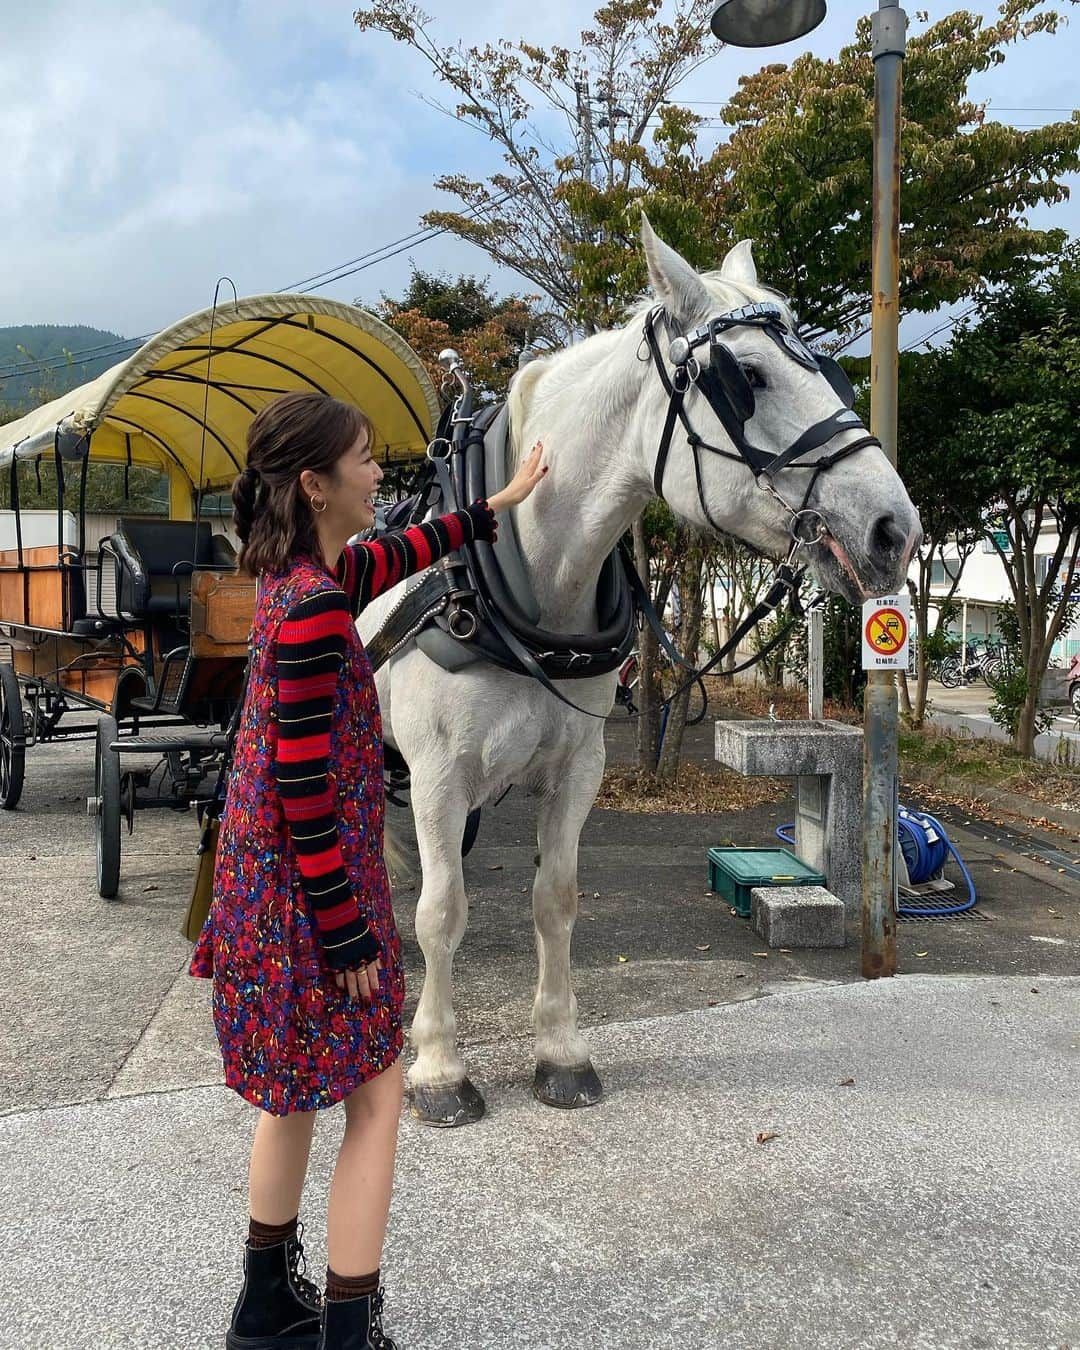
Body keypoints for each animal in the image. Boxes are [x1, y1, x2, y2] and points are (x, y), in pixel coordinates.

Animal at [361, 218, 918, 1128]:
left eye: (827, 368)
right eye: (747, 378)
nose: (894, 528)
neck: (523, 583)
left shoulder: (579, 765)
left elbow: (556, 900)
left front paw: (560, 1051)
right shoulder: (440, 771)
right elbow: (442, 911)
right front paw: (439, 1066)